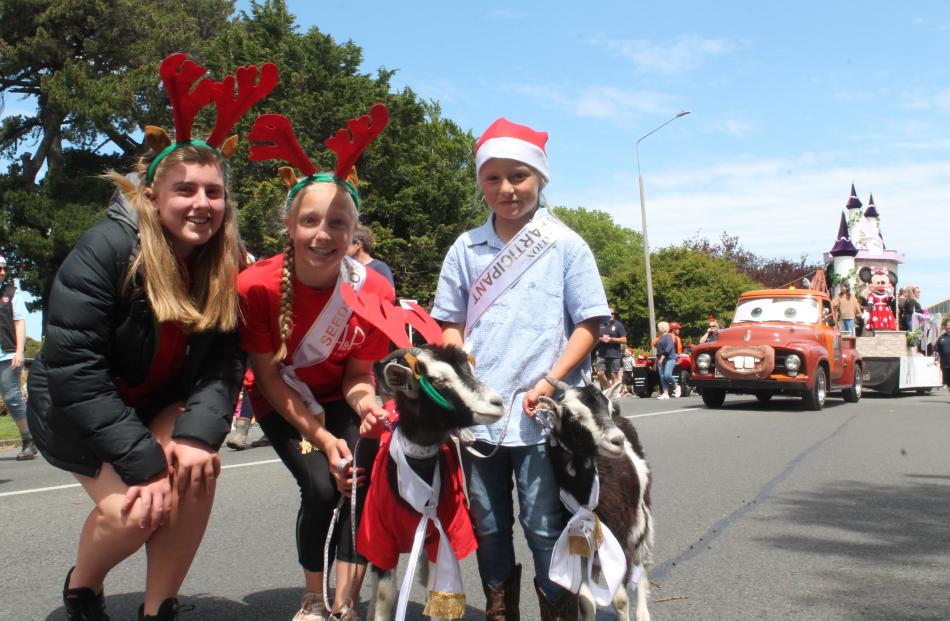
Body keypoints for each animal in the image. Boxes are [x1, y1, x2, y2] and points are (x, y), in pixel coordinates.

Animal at [362, 344, 506, 620]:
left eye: (469, 369)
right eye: (439, 381)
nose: (497, 403)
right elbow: (385, 594)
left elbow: (440, 593)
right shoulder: (378, 537)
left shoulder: (448, 532)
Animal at [540, 380, 660, 620]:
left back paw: (643, 612)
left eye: (607, 408)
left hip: (642, 515)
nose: (617, 441)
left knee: (643, 561)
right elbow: (586, 602)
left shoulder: (620, 535)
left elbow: (620, 600)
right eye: (574, 416)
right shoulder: (578, 537)